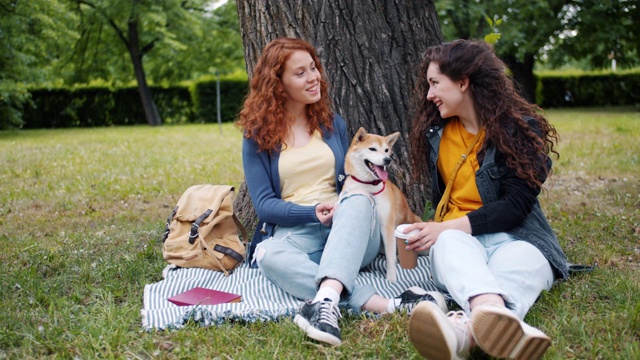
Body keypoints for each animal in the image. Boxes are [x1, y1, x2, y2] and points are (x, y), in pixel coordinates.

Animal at [340, 126, 420, 282]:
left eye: (386, 150)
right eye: (372, 149)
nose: (387, 160)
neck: (367, 186)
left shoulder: (386, 224)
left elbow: (390, 257)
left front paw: (391, 279)